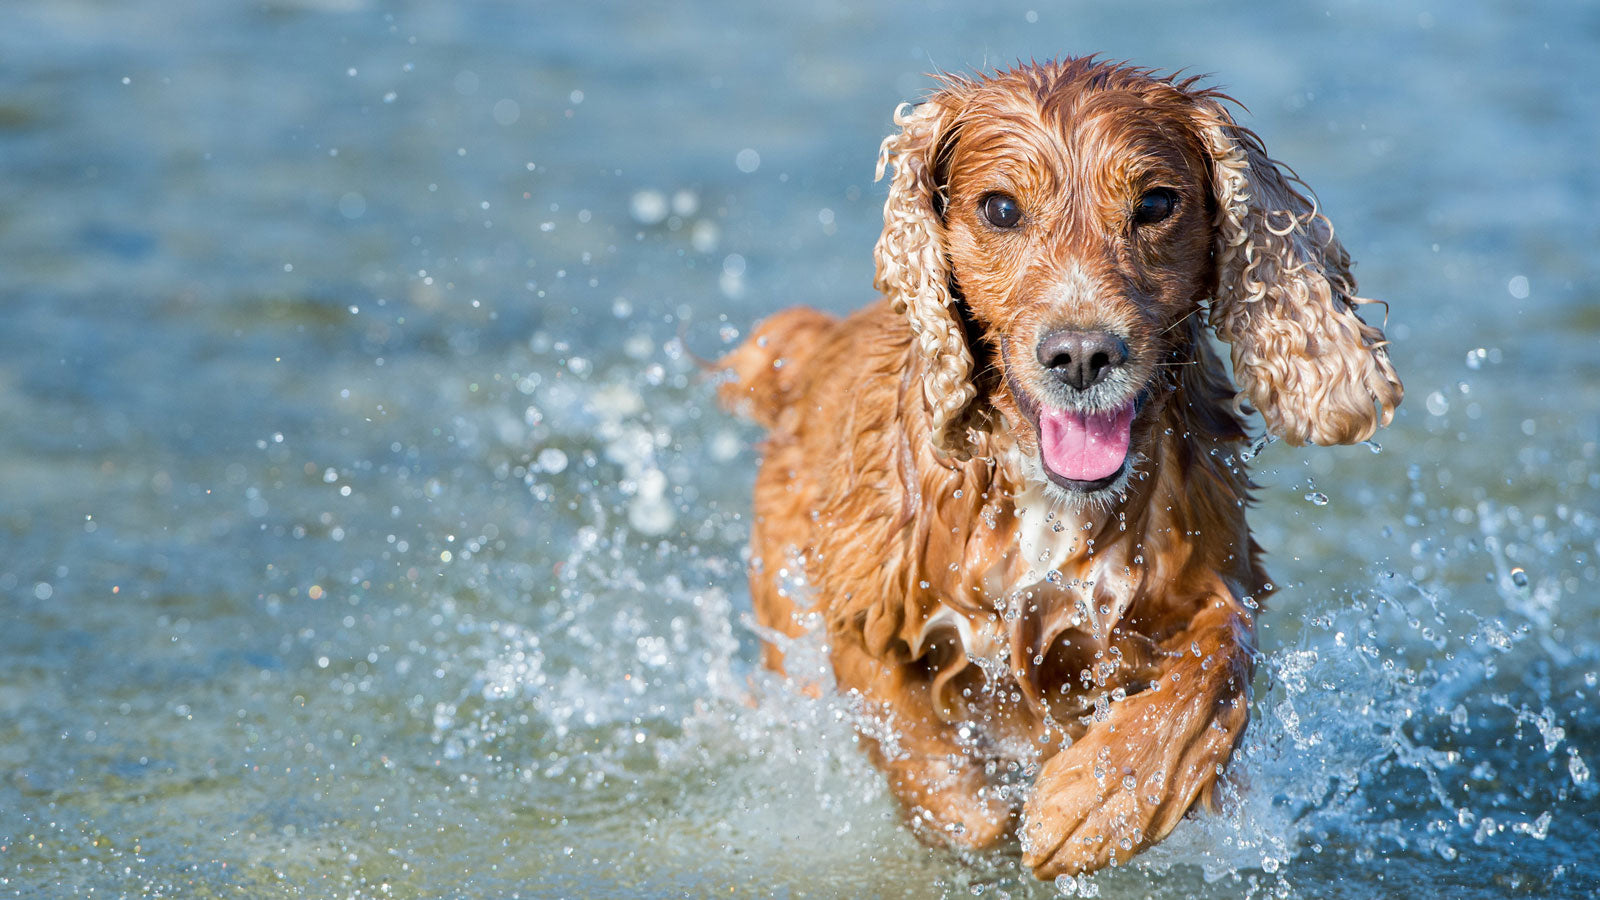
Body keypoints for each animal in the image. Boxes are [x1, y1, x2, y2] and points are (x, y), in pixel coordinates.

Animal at [716, 57, 1401, 877]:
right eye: (1001, 208)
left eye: (1156, 203)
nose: (1081, 354)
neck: (1047, 498)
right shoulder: (862, 601)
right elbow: (923, 753)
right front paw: (981, 809)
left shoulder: (1212, 575)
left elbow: (1219, 659)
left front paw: (1098, 800)